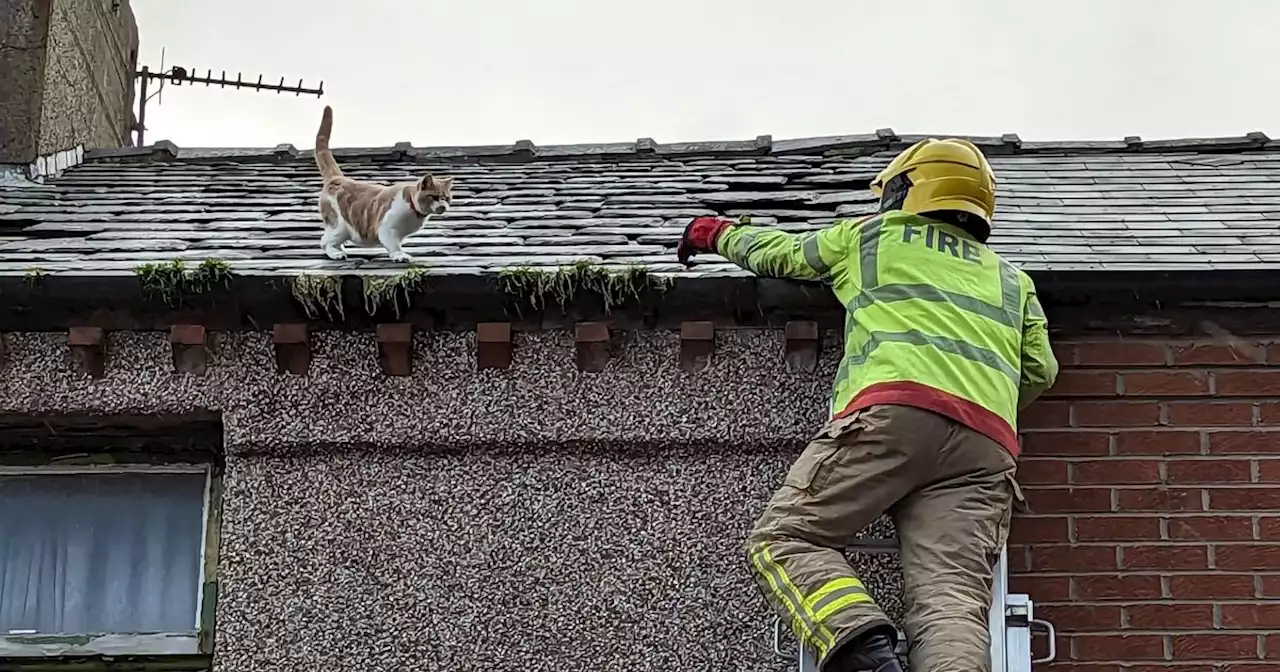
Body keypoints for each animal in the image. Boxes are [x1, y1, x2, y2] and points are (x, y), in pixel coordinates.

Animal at [311, 106, 455, 261]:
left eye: (446, 198)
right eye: (433, 197)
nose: (443, 206)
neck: (414, 211)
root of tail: (337, 178)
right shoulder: (387, 229)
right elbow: (393, 245)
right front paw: (399, 255)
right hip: (339, 226)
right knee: (325, 241)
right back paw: (337, 253)